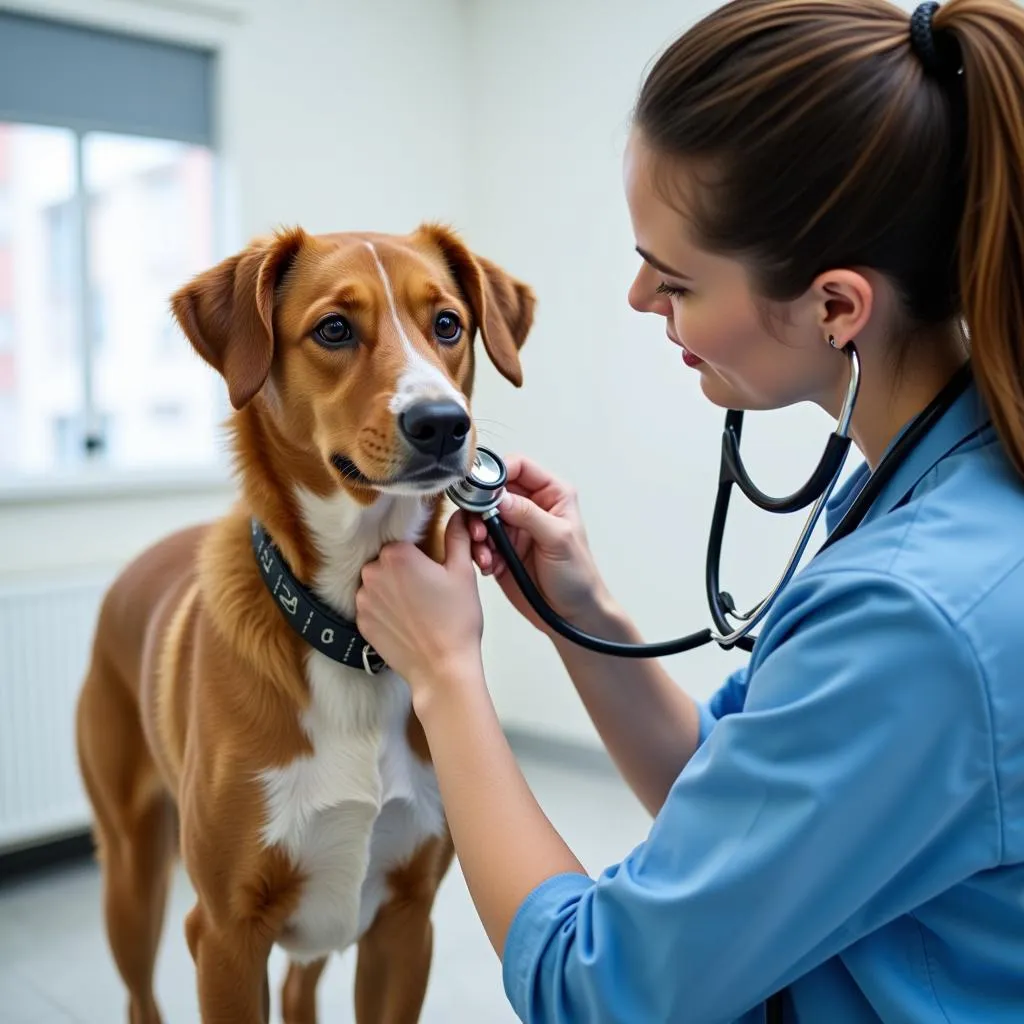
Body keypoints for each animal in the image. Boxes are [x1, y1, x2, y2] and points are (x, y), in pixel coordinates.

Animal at [73, 226, 536, 1024]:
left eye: (447, 324)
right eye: (334, 329)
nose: (443, 424)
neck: (349, 635)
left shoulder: (403, 926)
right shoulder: (223, 935)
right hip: (131, 878)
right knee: (139, 994)